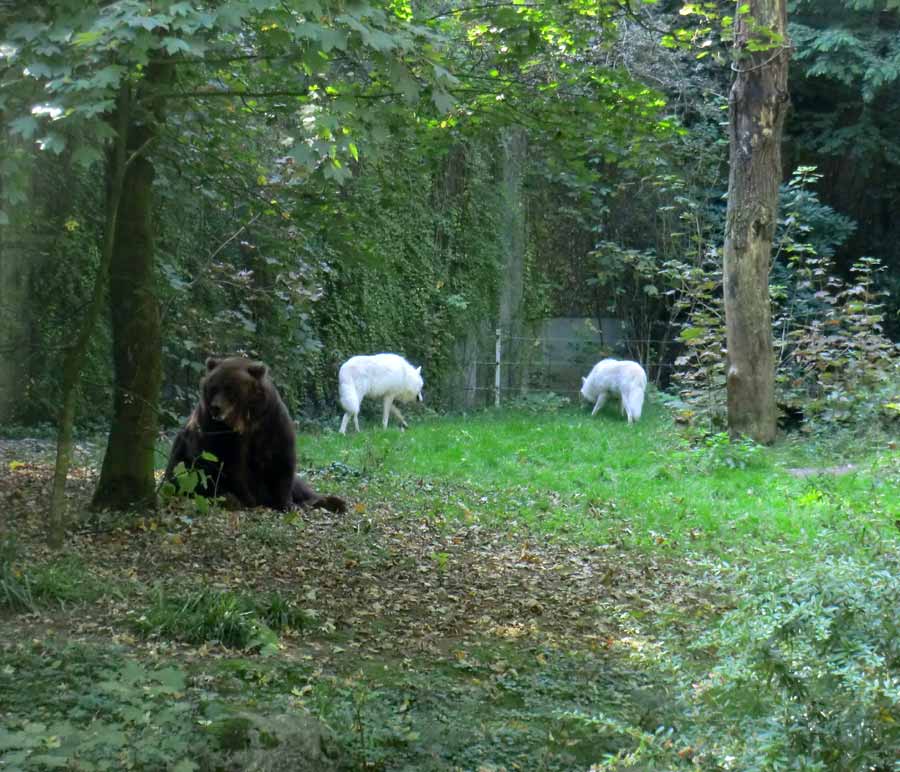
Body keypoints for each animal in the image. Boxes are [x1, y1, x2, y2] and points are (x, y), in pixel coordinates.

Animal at [163, 356, 346, 512]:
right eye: (213, 387)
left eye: (229, 388)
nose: (216, 407)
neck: (245, 420)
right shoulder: (216, 431)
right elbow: (226, 464)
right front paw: (248, 500)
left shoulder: (271, 420)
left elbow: (282, 460)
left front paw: (287, 503)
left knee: (300, 486)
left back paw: (332, 502)